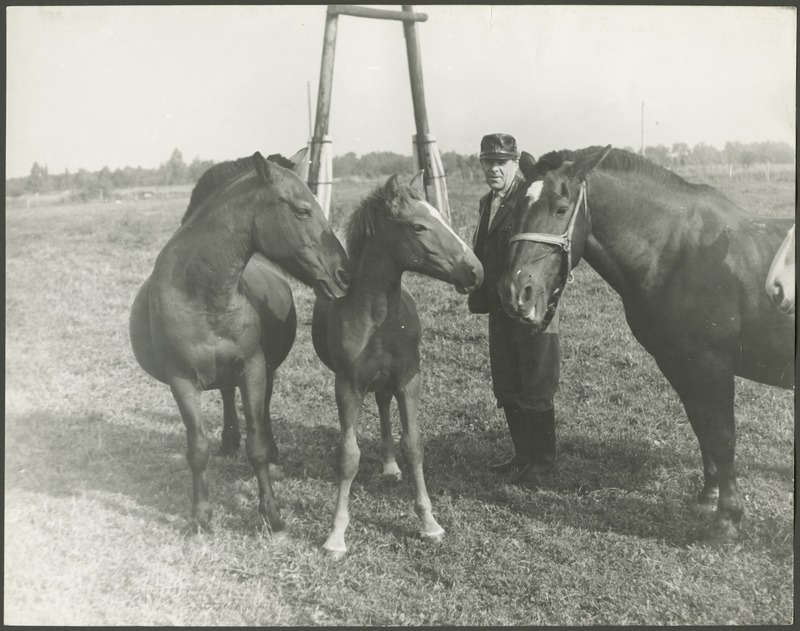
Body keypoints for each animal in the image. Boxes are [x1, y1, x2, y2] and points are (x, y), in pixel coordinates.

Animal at [128, 151, 346, 536]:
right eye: (302, 210)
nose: (342, 273)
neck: (203, 294)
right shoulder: (181, 380)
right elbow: (197, 448)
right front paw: (200, 517)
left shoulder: (253, 368)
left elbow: (255, 444)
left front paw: (272, 516)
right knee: (228, 396)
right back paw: (229, 442)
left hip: (266, 370)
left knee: (262, 409)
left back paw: (272, 454)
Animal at [310, 174, 482, 556]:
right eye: (418, 226)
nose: (476, 270)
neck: (378, 318)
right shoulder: (347, 385)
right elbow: (348, 456)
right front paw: (336, 536)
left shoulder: (408, 380)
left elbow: (414, 445)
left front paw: (430, 524)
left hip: (387, 380)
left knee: (384, 406)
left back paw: (391, 467)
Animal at [500, 146, 792, 540]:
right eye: (514, 209)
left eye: (560, 209)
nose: (516, 292)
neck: (681, 252)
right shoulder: (679, 363)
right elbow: (702, 427)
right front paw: (709, 495)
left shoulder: (712, 365)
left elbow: (722, 435)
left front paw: (728, 519)